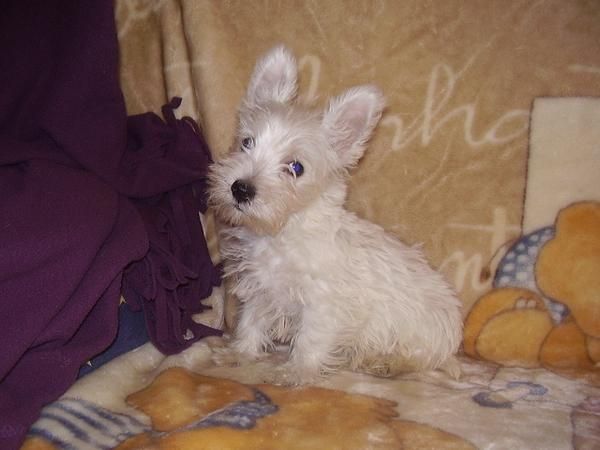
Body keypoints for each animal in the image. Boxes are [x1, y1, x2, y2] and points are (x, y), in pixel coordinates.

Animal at [209, 45, 462, 384]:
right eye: (247, 142)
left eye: (296, 167)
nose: (240, 189)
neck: (281, 233)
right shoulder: (260, 288)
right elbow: (251, 322)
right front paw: (239, 353)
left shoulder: (323, 304)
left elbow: (310, 340)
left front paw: (296, 371)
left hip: (421, 334)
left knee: (421, 359)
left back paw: (383, 362)